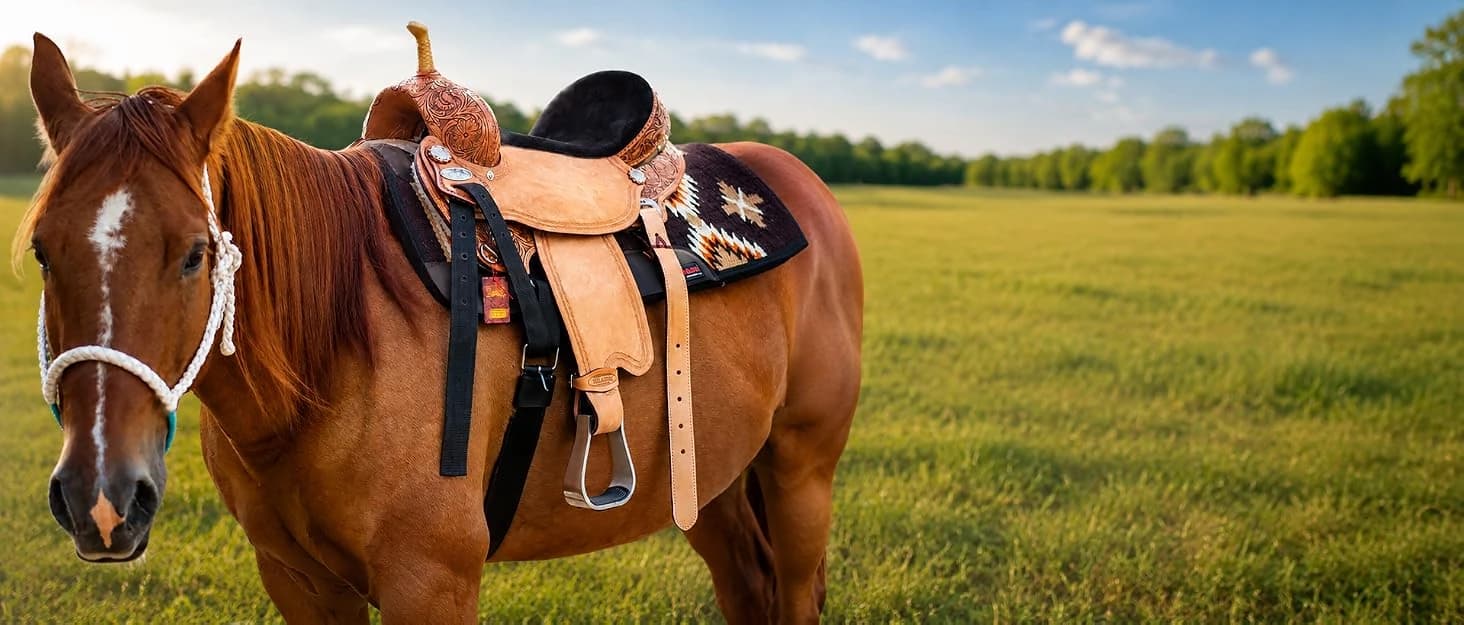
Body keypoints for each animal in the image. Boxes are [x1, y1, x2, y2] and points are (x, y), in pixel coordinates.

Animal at [18, 33, 862, 624]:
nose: (102, 498)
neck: (333, 353)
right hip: (714, 477)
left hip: (800, 472)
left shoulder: (431, 581)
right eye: (41, 251)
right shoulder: (297, 578)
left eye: (196, 253)